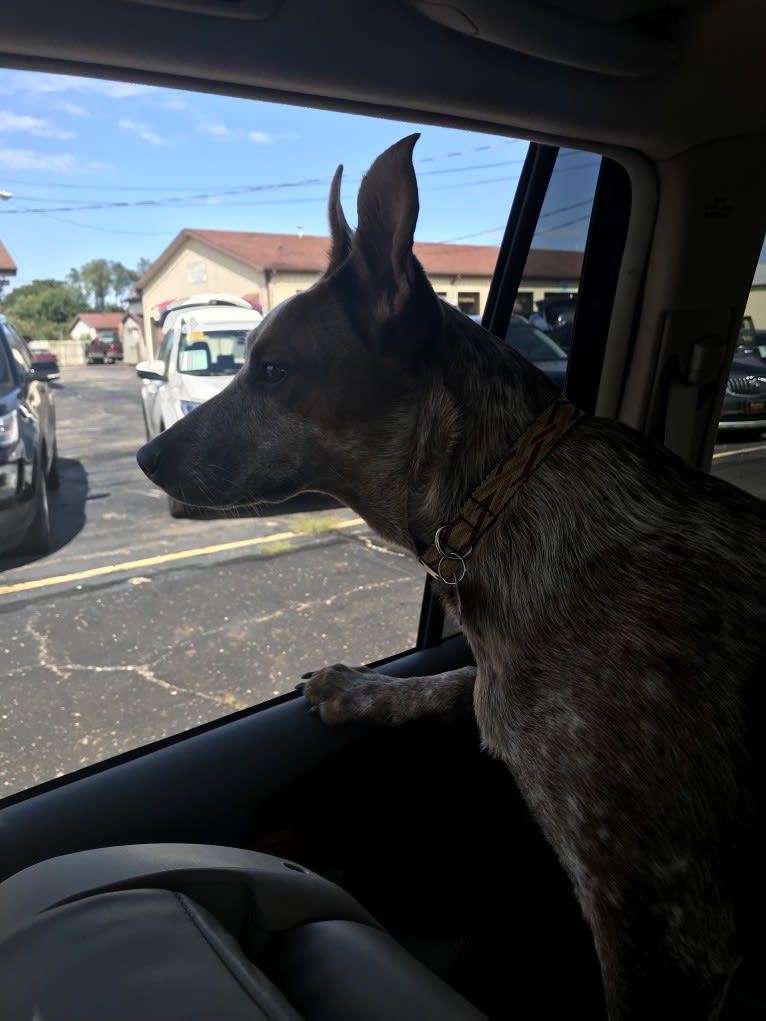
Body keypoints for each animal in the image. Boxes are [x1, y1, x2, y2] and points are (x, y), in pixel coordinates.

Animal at [139, 137, 766, 1021]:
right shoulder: (498, 687)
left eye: (273, 371)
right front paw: (361, 687)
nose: (145, 456)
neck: (507, 501)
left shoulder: (667, 919)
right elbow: (455, 683)